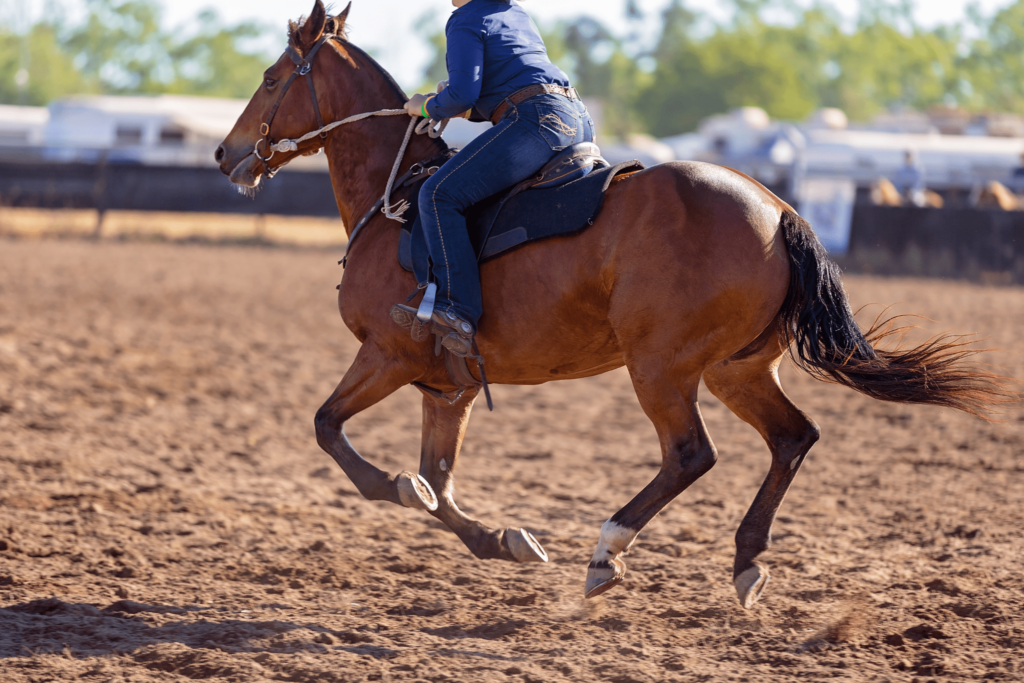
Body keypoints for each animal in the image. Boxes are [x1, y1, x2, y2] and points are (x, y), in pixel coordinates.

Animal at [216, 0, 1007, 610]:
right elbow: (440, 481)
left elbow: (335, 433)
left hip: (659, 366)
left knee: (690, 454)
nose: (225, 155)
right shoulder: (449, 386)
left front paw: (401, 490)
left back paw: (608, 549)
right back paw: (746, 560)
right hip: (737, 369)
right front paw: (502, 540)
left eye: (271, 77)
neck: (401, 198)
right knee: (792, 438)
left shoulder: (387, 354)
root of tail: (778, 207)